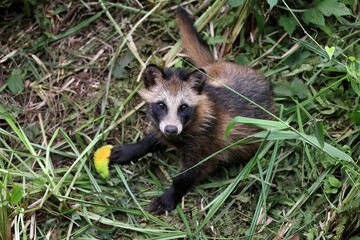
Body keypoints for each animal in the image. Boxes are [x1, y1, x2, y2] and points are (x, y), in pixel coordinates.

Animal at [110, 7, 276, 214]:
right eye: (161, 105)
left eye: (183, 107)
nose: (171, 129)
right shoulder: (164, 125)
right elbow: (153, 137)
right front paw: (136, 148)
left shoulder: (206, 146)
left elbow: (187, 175)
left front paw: (170, 195)